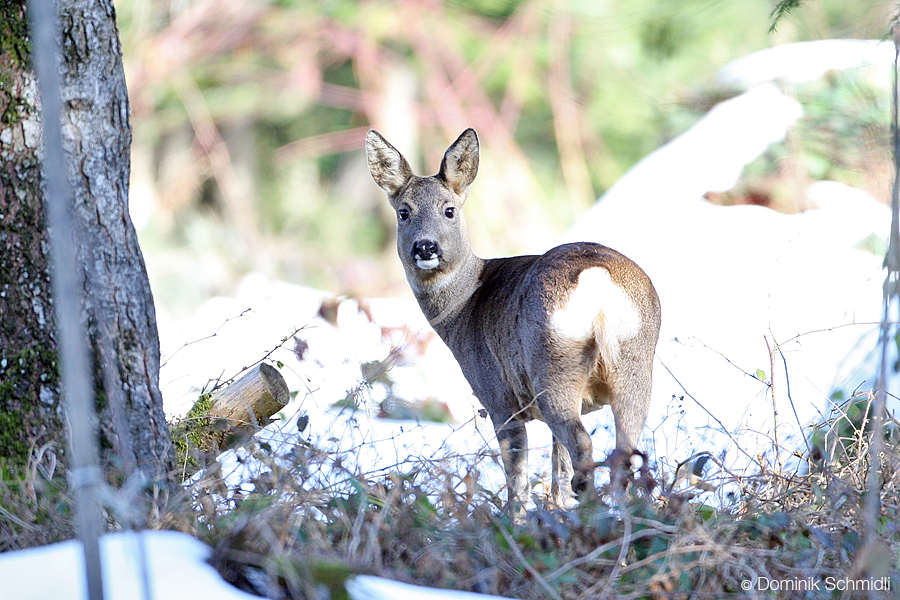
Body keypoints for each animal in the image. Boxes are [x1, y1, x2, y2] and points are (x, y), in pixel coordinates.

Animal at [364, 129, 660, 512]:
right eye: (403, 212)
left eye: (449, 210)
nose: (426, 247)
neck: (464, 306)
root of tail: (597, 278)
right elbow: (557, 469)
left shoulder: (497, 396)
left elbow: (517, 478)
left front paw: (516, 518)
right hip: (635, 360)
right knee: (622, 453)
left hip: (552, 363)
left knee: (582, 444)